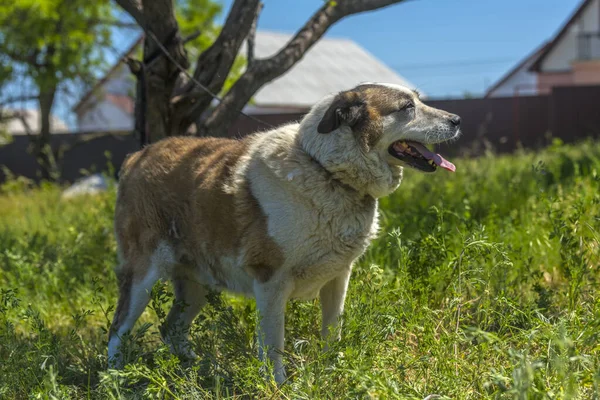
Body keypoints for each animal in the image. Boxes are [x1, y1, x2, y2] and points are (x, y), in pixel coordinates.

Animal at [108, 82, 462, 384]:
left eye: (418, 100)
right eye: (407, 107)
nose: (457, 119)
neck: (325, 170)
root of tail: (138, 155)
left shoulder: (339, 277)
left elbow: (332, 331)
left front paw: (332, 374)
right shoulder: (271, 281)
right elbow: (272, 344)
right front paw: (279, 386)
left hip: (196, 287)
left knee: (171, 329)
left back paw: (199, 369)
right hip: (143, 277)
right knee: (118, 329)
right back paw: (116, 378)